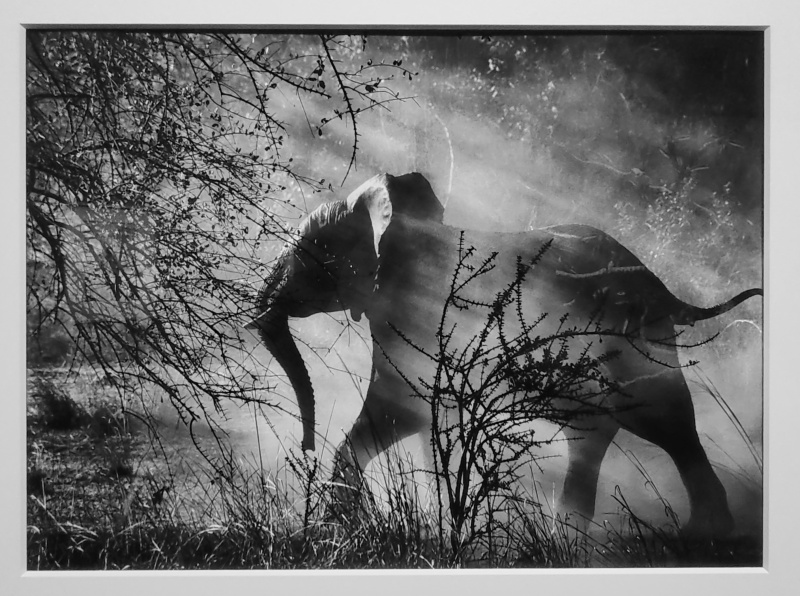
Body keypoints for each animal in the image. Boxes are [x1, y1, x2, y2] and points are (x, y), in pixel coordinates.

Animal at [246, 172, 762, 536]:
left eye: (310, 248)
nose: (304, 447)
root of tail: (665, 291)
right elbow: (416, 420)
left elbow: (401, 409)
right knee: (599, 436)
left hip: (633, 346)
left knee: (667, 423)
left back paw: (702, 536)